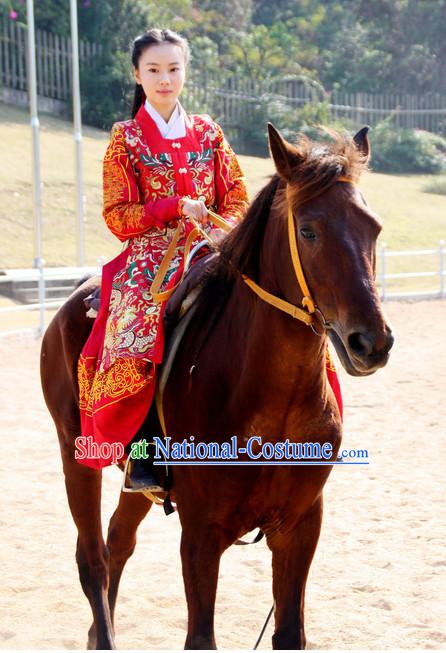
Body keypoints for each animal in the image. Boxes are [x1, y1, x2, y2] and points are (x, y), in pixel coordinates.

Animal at [39, 125, 394, 648]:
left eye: (374, 228)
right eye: (309, 230)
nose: (372, 341)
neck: (272, 409)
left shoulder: (300, 527)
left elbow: (290, 633)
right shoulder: (201, 534)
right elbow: (200, 637)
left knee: (118, 541)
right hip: (76, 453)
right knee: (93, 559)